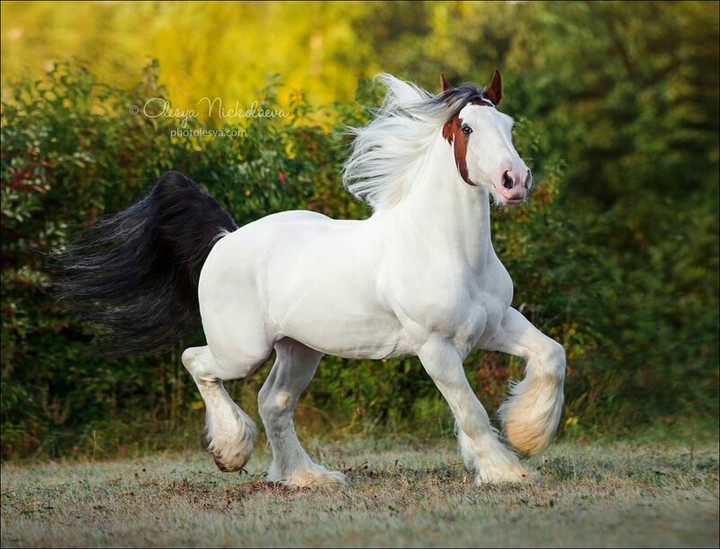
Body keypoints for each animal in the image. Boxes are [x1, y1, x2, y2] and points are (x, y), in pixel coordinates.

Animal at [57, 70, 566, 487]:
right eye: (466, 128)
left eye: (509, 126)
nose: (515, 181)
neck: (447, 249)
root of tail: (224, 240)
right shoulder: (434, 347)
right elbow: (470, 410)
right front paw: (507, 471)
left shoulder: (495, 325)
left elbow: (551, 357)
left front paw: (525, 437)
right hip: (242, 350)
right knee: (196, 362)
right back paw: (231, 451)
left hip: (299, 349)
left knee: (274, 403)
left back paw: (305, 478)